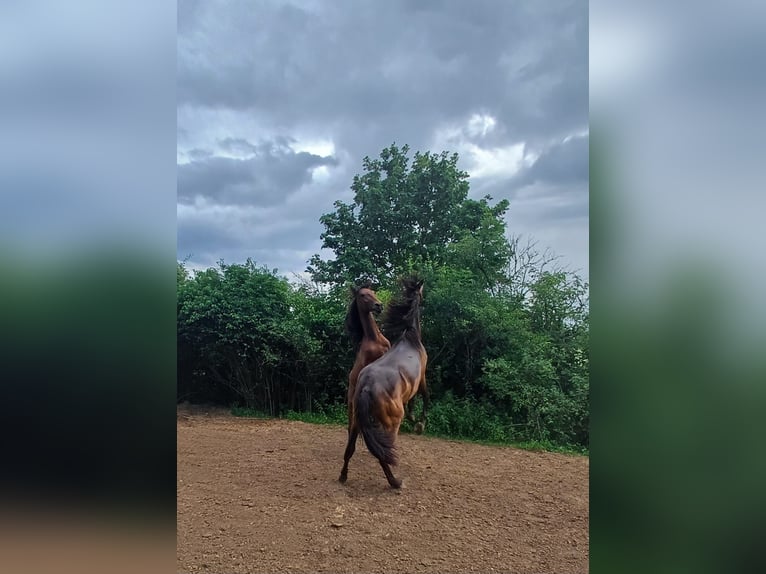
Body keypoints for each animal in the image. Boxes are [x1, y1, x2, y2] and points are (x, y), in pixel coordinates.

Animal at [344, 284, 390, 436]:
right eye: (363, 295)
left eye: (373, 292)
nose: (379, 305)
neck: (374, 339)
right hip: (351, 401)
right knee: (351, 424)